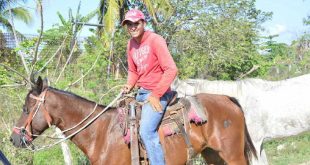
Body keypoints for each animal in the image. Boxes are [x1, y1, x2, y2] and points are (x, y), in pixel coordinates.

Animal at [10, 76, 256, 164]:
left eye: (26, 108)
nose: (14, 139)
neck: (101, 134)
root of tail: (228, 99)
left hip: (233, 156)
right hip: (213, 155)